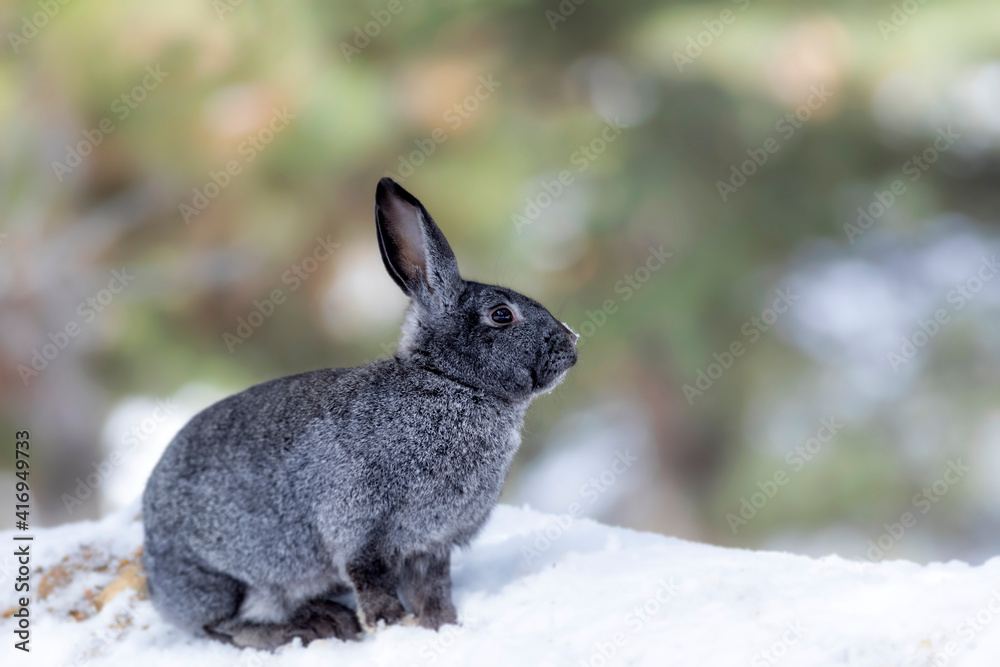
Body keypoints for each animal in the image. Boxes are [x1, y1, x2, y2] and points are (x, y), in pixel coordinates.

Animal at [141, 177, 578, 651]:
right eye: (501, 315)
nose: (572, 343)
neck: (451, 382)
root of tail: (156, 576)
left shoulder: (432, 543)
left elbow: (433, 589)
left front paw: (442, 626)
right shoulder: (357, 525)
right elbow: (370, 579)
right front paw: (390, 625)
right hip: (225, 579)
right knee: (225, 625)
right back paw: (314, 624)